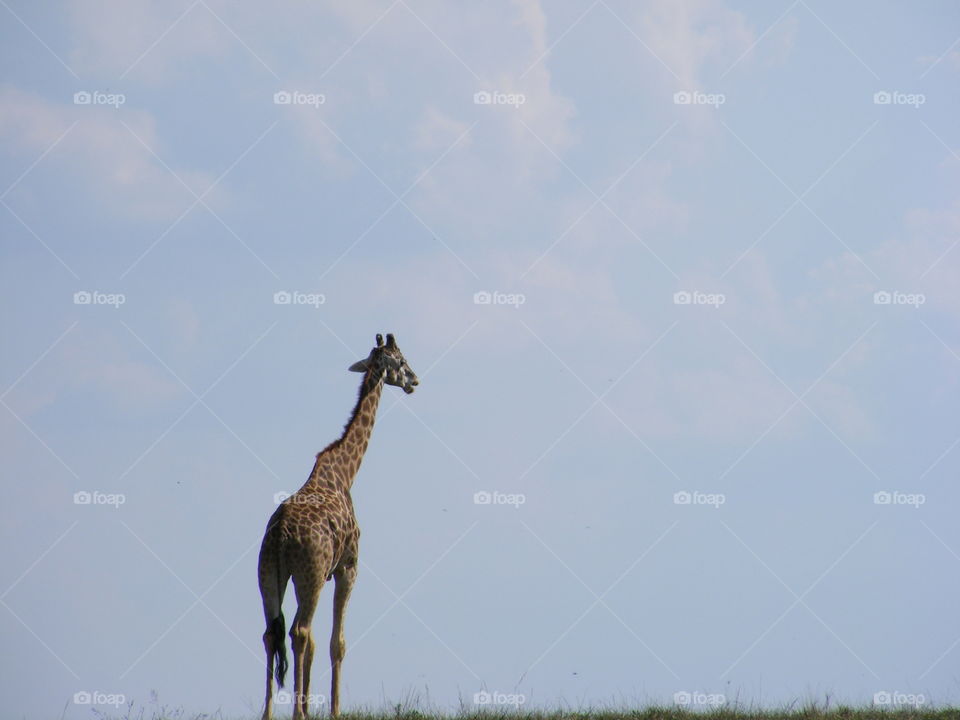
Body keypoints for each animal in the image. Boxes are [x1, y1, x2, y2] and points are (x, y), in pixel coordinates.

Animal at [257, 333, 418, 720]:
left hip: (268, 573)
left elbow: (318, 643)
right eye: (401, 360)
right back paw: (297, 714)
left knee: (273, 633)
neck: (345, 474)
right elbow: (337, 643)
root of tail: (281, 535)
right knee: (299, 631)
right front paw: (333, 711)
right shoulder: (348, 566)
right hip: (310, 574)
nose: (415, 381)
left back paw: (268, 713)